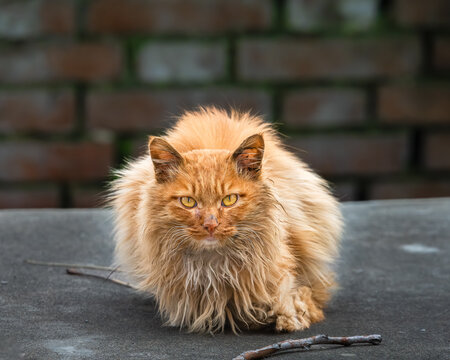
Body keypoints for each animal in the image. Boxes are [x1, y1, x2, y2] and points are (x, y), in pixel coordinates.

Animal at [109, 107, 342, 334]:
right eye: (188, 202)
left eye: (229, 200)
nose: (211, 225)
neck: (214, 266)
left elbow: (295, 299)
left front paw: (286, 318)